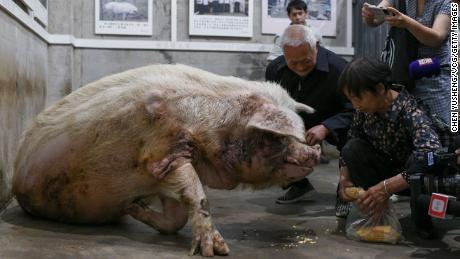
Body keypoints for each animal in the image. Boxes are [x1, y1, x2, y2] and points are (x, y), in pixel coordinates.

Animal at [11, 65, 320, 258]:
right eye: (275, 137)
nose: (313, 152)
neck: (216, 126)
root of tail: (14, 180)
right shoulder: (163, 151)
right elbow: (197, 195)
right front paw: (216, 251)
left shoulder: (165, 168)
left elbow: (177, 215)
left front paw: (134, 207)